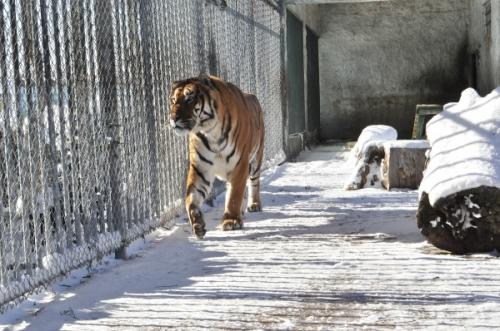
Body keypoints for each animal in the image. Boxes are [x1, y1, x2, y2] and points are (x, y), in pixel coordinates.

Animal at [169, 73, 266, 239]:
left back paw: (253, 205)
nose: (173, 118)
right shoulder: (200, 168)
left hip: (256, 159)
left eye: (189, 99)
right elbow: (191, 198)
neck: (210, 132)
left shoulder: (239, 164)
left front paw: (231, 221)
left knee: (253, 182)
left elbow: (234, 195)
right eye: (174, 100)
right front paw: (197, 223)